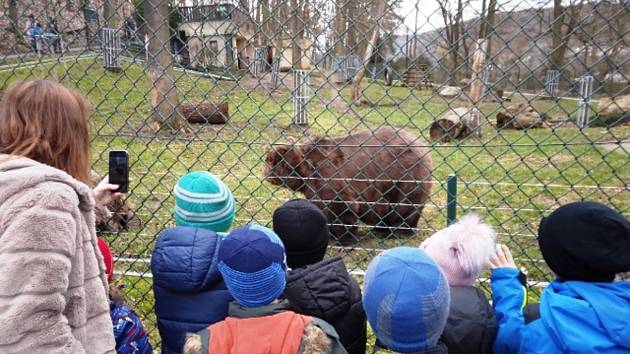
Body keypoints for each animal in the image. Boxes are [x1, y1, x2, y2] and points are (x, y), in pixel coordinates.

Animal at [262, 125, 434, 243]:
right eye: (267, 159)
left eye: (272, 160)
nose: (266, 172)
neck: (307, 171)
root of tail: (421, 144)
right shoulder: (314, 188)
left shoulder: (331, 179)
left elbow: (342, 207)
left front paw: (344, 239)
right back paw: (381, 229)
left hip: (405, 174)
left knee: (406, 205)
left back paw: (399, 231)